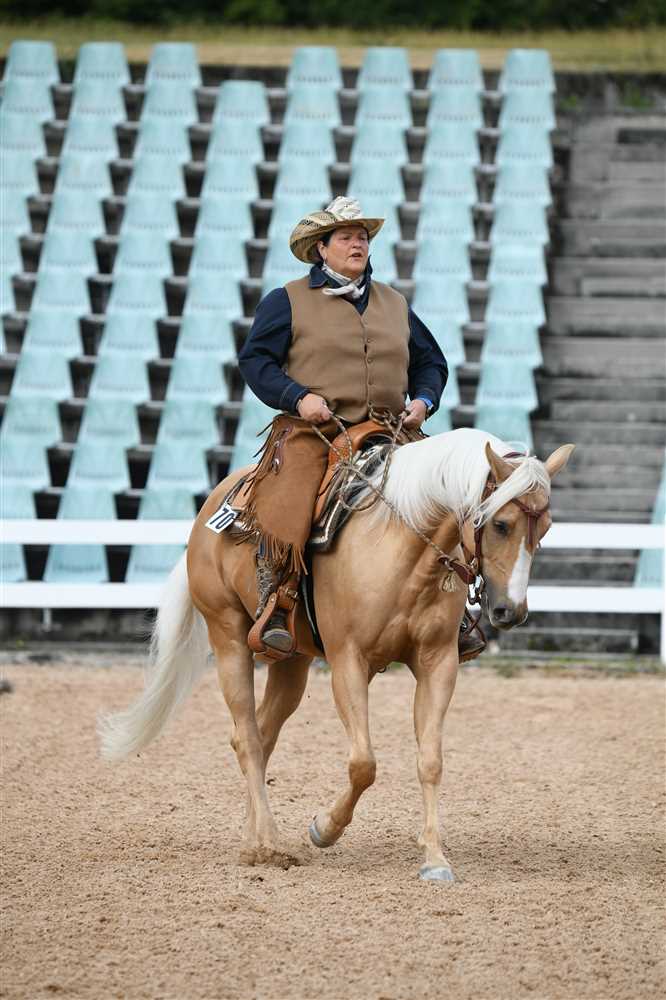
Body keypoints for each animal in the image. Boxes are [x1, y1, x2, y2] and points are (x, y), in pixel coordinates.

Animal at [99, 427, 574, 883]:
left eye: (547, 526)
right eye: (501, 524)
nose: (510, 611)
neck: (400, 547)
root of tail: (209, 510)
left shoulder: (438, 663)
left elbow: (431, 761)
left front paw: (436, 859)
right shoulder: (349, 661)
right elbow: (363, 764)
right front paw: (323, 828)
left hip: (293, 662)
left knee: (262, 734)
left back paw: (253, 835)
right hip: (228, 636)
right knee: (247, 737)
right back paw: (268, 842)